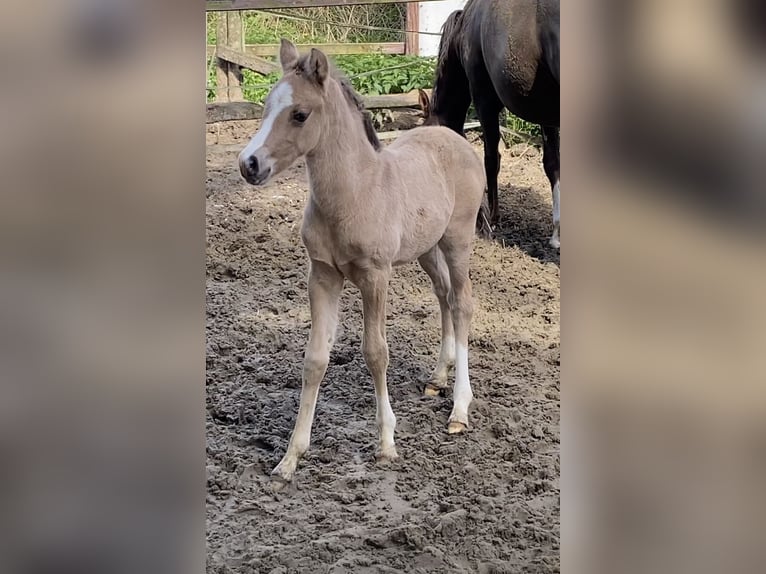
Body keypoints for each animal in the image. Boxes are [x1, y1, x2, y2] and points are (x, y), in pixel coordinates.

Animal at [238, 38, 486, 484]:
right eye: (266, 107)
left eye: (300, 114)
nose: (249, 164)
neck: (353, 193)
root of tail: (454, 137)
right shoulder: (322, 275)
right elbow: (315, 358)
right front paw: (290, 458)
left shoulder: (375, 276)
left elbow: (376, 352)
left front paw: (386, 443)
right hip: (426, 249)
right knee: (443, 295)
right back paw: (437, 378)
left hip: (458, 240)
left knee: (462, 303)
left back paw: (459, 408)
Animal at [424, 0, 560, 248]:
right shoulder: (547, 111)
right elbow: (552, 164)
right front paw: (556, 234)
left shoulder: (484, 100)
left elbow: (490, 159)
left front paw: (490, 221)